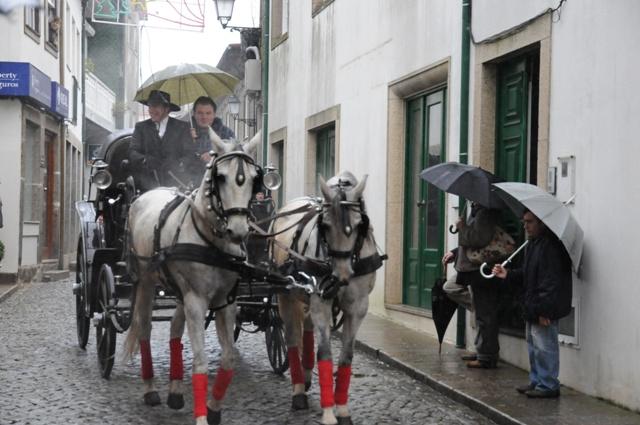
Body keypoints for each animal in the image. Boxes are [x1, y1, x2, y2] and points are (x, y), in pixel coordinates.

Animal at [122, 129, 260, 424]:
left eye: (255, 179)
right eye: (220, 177)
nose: (238, 231)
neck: (212, 242)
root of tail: (147, 194)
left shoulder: (226, 302)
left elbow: (228, 358)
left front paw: (214, 408)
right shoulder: (197, 300)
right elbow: (200, 362)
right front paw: (201, 417)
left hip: (179, 291)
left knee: (175, 328)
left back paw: (174, 390)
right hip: (146, 281)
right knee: (144, 327)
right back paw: (150, 388)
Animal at [272, 171, 384, 424]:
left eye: (359, 224)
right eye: (325, 225)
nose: (340, 276)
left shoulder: (358, 307)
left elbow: (347, 356)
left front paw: (341, 409)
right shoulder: (321, 303)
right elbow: (325, 354)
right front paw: (328, 413)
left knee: (306, 330)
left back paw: (305, 376)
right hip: (287, 296)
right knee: (291, 339)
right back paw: (298, 390)